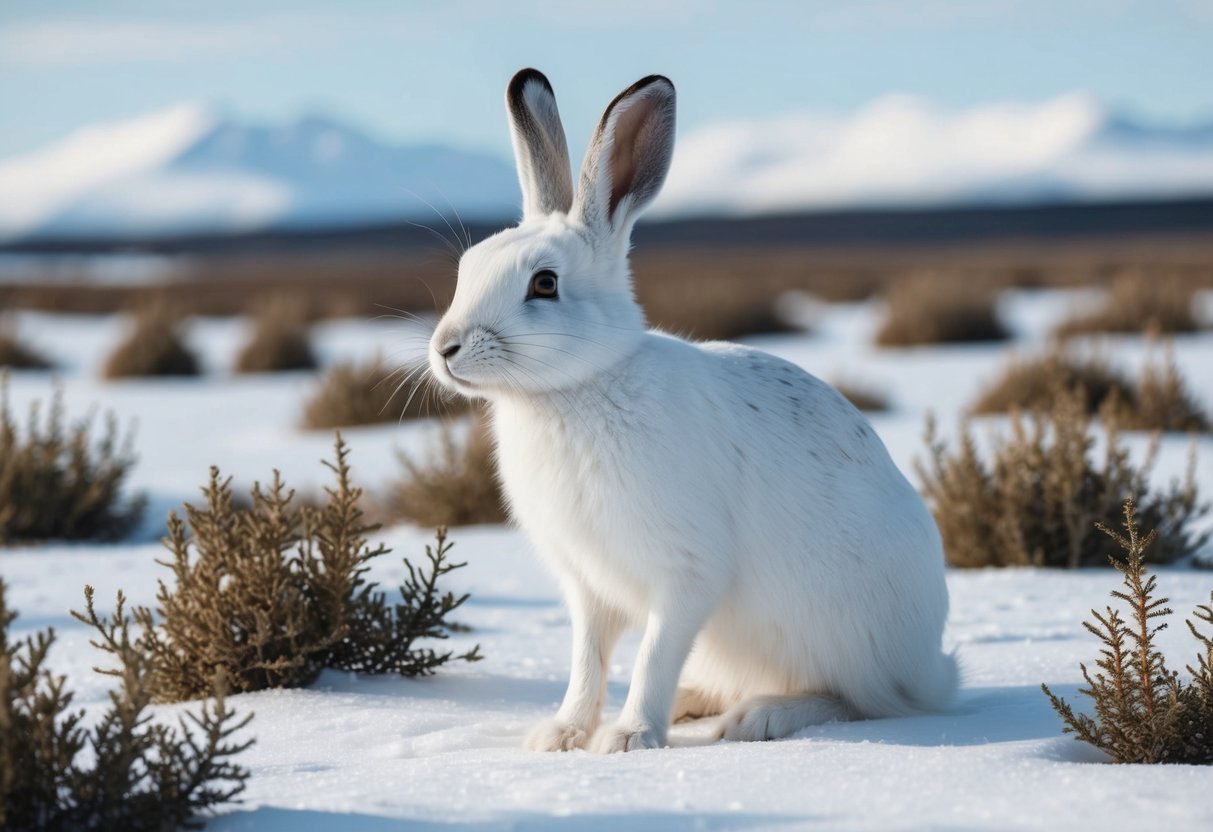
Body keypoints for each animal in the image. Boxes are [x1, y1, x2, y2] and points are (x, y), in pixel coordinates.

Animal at [428, 68, 957, 753]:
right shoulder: (587, 586)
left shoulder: (687, 574)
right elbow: (587, 660)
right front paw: (562, 735)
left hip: (837, 630)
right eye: (467, 269)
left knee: (859, 700)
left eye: (544, 284)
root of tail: (933, 669)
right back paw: (693, 703)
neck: (580, 386)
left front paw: (628, 739)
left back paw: (759, 717)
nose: (445, 349)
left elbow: (654, 654)